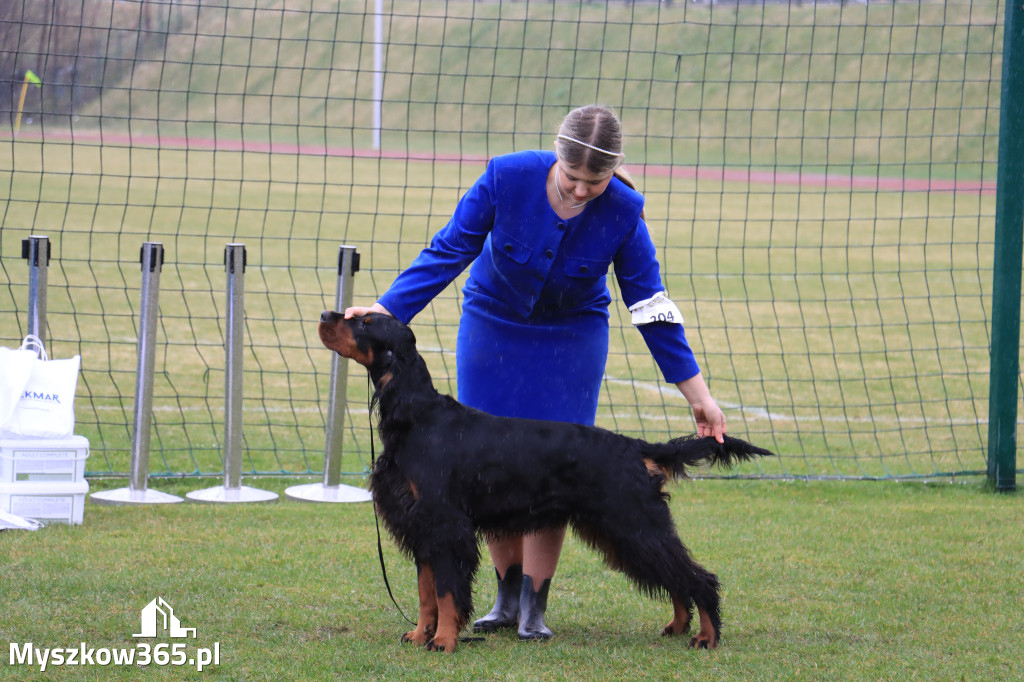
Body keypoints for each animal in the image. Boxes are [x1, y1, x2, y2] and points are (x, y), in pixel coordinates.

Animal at [315, 311, 770, 651]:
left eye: (364, 322)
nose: (325, 314)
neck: (416, 416)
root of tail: (634, 445)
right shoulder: (420, 526)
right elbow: (428, 592)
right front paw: (419, 634)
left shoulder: (445, 526)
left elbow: (445, 592)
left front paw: (443, 641)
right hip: (624, 530)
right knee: (675, 574)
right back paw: (677, 626)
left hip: (633, 522)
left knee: (697, 576)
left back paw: (707, 636)